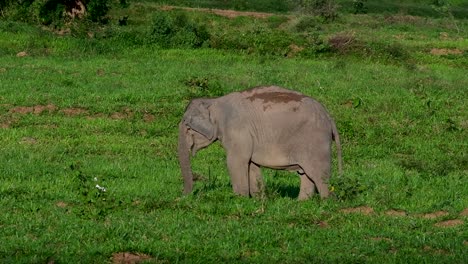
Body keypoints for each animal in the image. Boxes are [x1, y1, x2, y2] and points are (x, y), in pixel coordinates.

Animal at [177, 85, 342, 199]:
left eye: (188, 127)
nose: (183, 196)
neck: (214, 101)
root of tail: (329, 117)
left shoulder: (237, 130)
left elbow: (236, 161)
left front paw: (239, 199)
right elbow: (251, 164)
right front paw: (258, 199)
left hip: (316, 142)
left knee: (319, 176)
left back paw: (326, 202)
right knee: (306, 175)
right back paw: (301, 203)